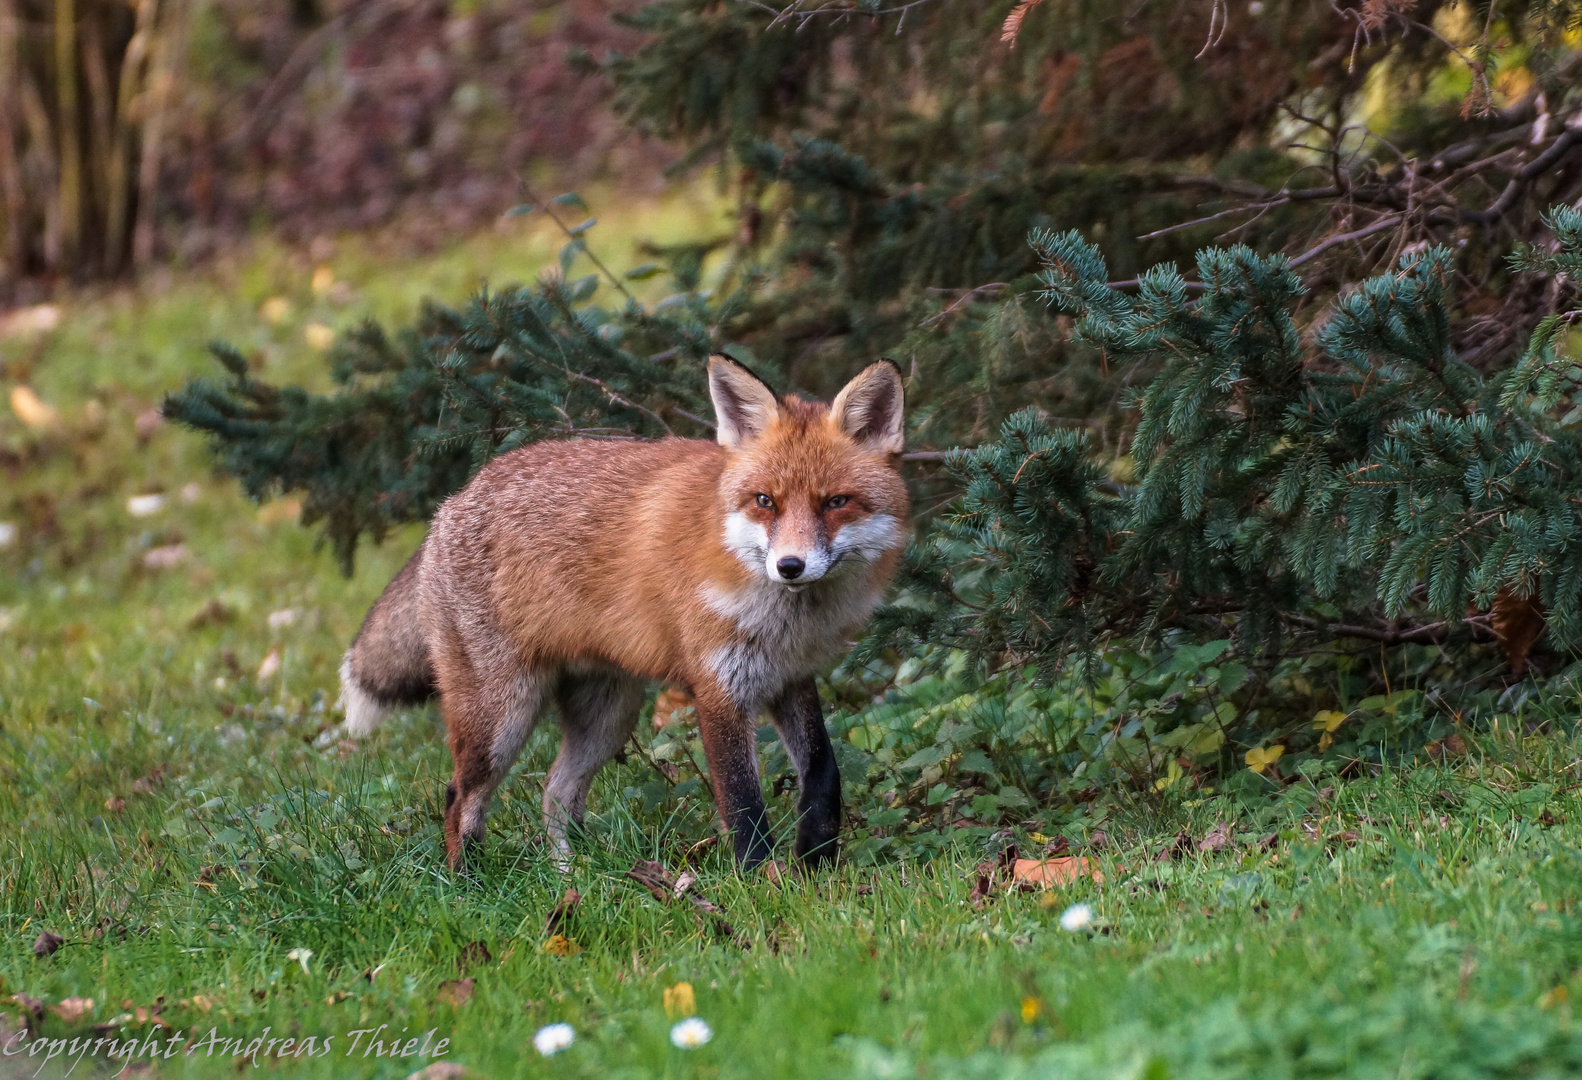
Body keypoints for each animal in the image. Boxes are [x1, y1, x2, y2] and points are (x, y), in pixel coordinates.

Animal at [340, 358, 911, 872]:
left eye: (835, 502)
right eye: (765, 500)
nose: (790, 566)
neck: (786, 619)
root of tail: (451, 502)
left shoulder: (791, 678)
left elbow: (824, 773)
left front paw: (816, 862)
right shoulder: (718, 689)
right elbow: (744, 807)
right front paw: (763, 886)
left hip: (609, 716)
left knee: (555, 793)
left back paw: (576, 877)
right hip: (503, 716)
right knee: (459, 799)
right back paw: (470, 888)